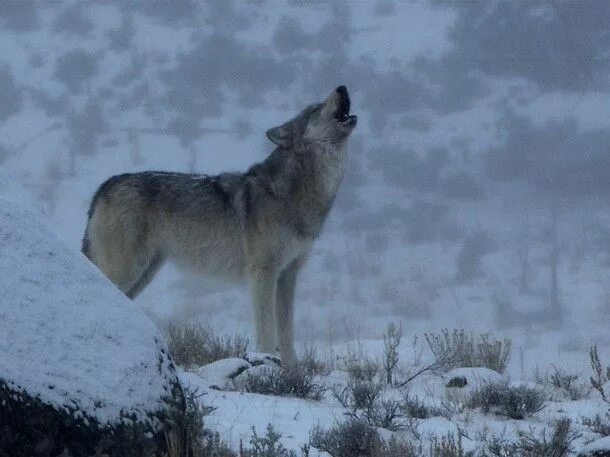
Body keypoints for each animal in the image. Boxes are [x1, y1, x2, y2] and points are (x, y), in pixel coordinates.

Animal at [81, 86, 356, 364]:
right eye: (315, 109)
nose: (342, 87)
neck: (295, 193)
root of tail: (105, 186)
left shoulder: (288, 275)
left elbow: (287, 334)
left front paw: (290, 370)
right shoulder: (263, 273)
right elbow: (267, 330)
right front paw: (267, 363)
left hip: (144, 273)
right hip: (128, 270)